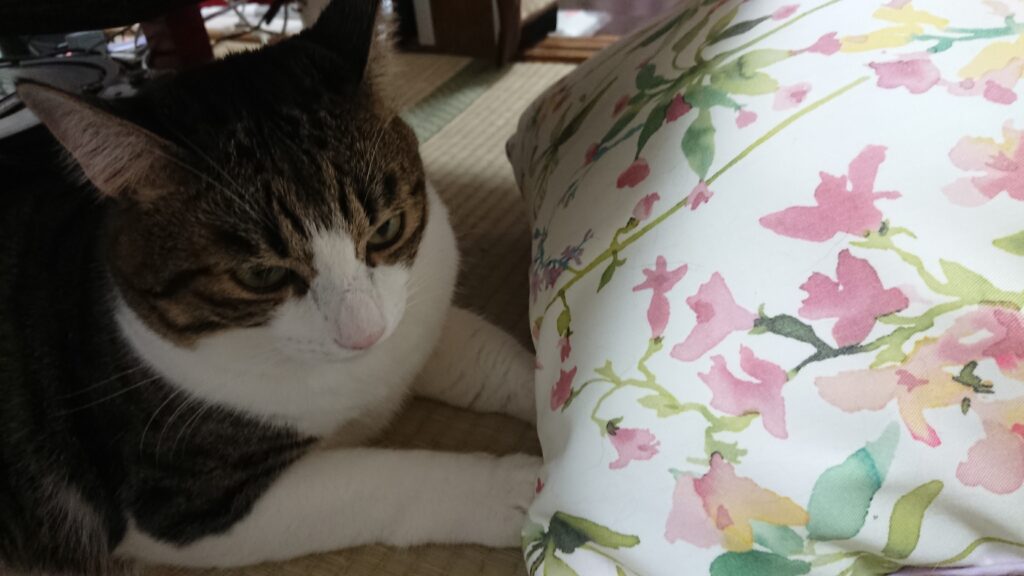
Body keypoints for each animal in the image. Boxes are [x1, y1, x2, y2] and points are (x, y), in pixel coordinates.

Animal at [0, 0, 540, 574]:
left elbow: (490, 359)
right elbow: (381, 480)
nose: (364, 336)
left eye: (387, 229)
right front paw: (529, 491)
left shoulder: (417, 317)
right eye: (262, 275)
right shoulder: (181, 501)